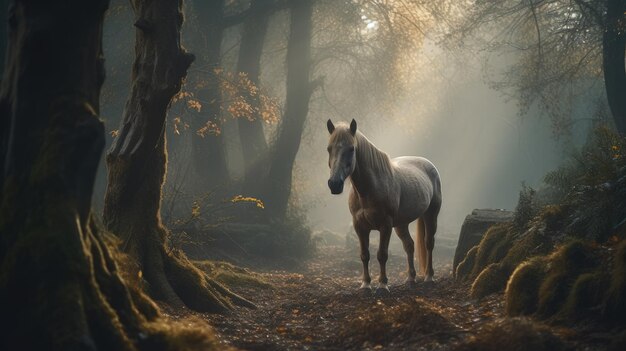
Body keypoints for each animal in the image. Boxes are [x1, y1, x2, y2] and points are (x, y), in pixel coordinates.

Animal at [324, 119, 442, 296]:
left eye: (351, 149)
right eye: (329, 148)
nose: (334, 184)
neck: (369, 190)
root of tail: (428, 164)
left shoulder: (385, 225)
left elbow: (382, 255)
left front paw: (382, 285)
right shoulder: (360, 227)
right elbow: (364, 255)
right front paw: (366, 285)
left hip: (431, 215)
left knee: (429, 243)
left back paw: (429, 277)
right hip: (401, 224)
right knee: (409, 246)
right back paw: (411, 278)